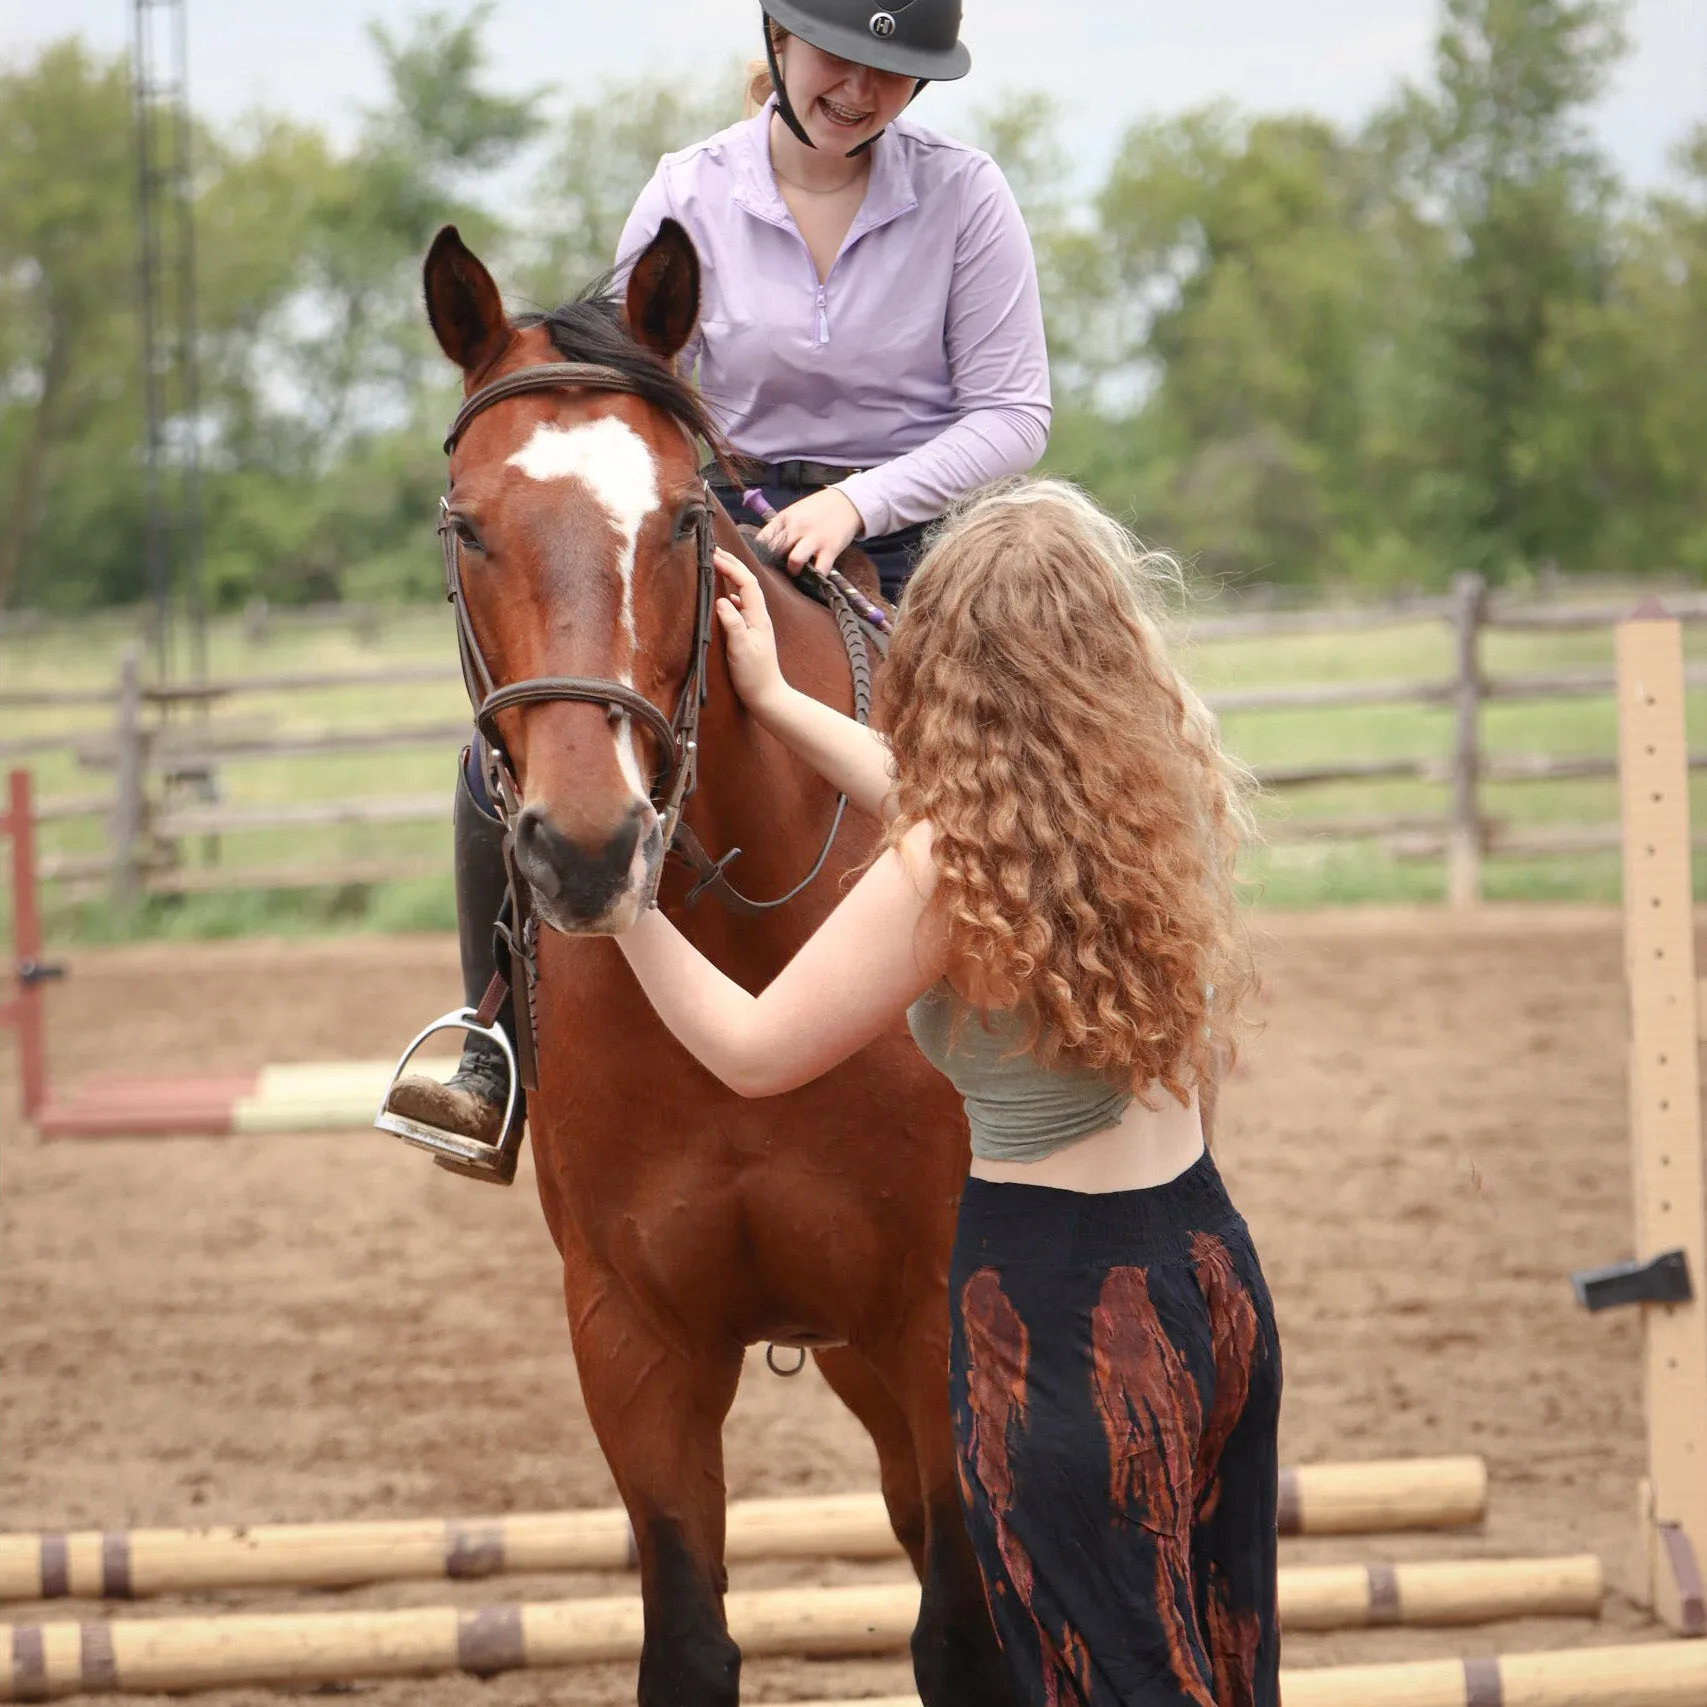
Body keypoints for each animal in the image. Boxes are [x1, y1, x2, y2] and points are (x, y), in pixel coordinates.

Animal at [421, 216, 1017, 1707]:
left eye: (687, 517)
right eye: (466, 524)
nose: (587, 847)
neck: (751, 946)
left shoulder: (931, 1314)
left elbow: (968, 1633)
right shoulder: (631, 1334)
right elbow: (687, 1638)